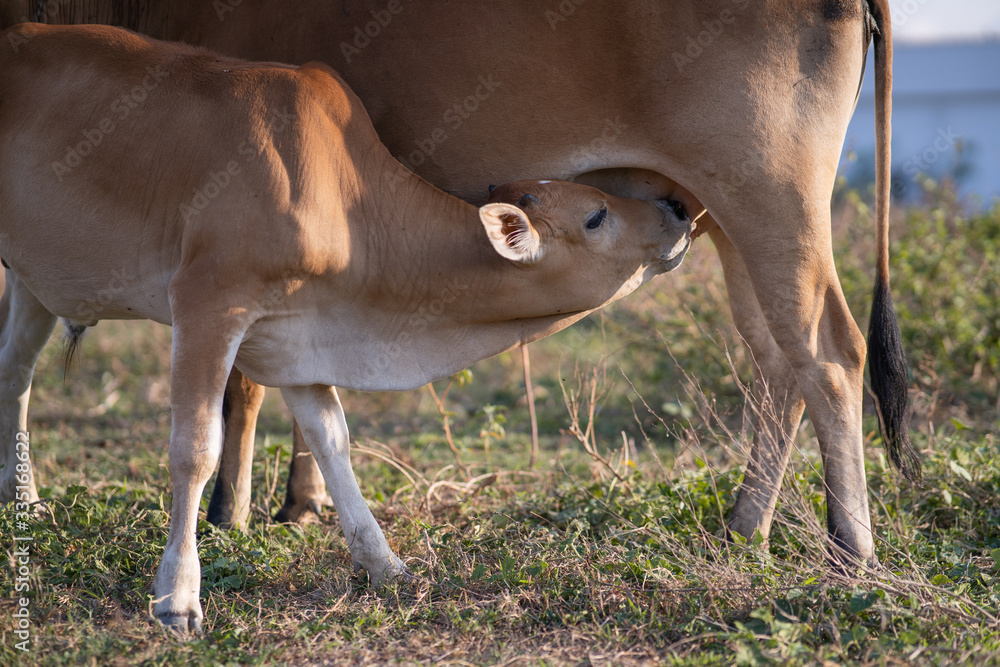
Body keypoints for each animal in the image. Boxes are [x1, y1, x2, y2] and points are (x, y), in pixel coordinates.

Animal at [0, 0, 916, 568]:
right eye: (591, 214)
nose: (659, 212)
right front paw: (297, 503)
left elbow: (240, 386)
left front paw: (232, 511)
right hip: (728, 217)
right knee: (778, 360)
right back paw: (744, 523)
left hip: (769, 199)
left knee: (831, 353)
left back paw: (850, 545)